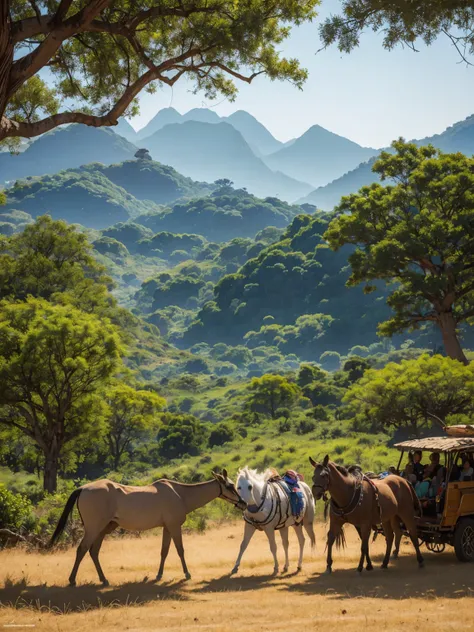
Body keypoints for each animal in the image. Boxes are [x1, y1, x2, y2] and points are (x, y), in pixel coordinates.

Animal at [50, 472, 246, 584]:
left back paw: (103, 579)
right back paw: (72, 579)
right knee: (82, 549)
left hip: (103, 529)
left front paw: (159, 575)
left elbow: (164, 551)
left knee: (93, 551)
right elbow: (180, 550)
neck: (180, 494)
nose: (243, 502)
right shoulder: (174, 526)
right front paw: (187, 574)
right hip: (93, 528)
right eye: (230, 485)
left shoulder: (167, 527)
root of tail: (82, 488)